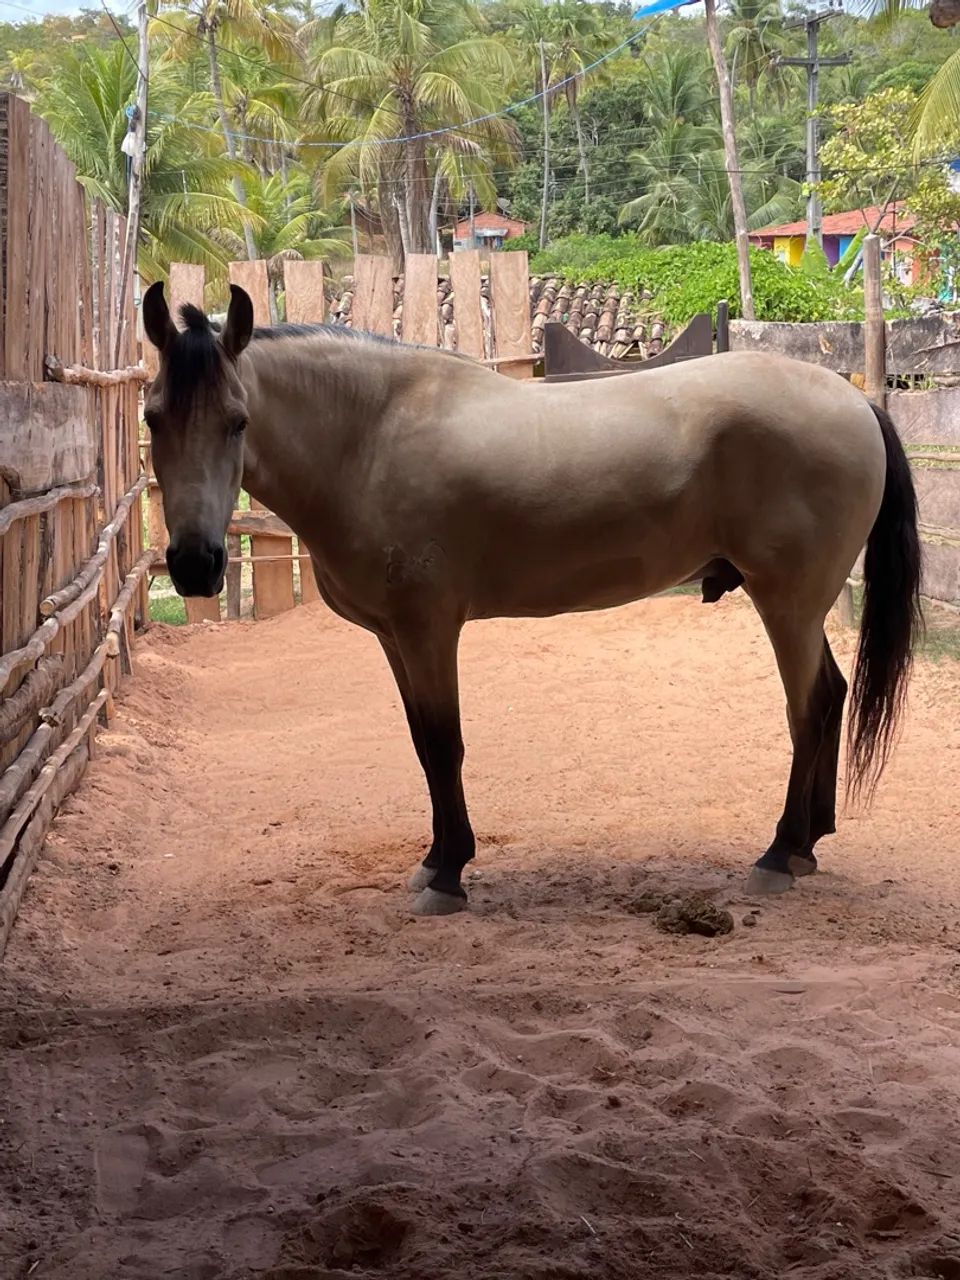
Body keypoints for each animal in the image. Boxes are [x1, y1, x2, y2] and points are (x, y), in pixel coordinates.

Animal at [141, 281, 922, 916]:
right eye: (153, 418)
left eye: (238, 421)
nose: (195, 565)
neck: (371, 438)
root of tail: (854, 399)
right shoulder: (394, 636)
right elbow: (423, 745)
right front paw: (434, 861)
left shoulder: (428, 630)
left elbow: (443, 743)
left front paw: (449, 874)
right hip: (802, 607)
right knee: (832, 695)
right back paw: (809, 843)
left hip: (787, 603)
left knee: (809, 708)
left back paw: (778, 855)